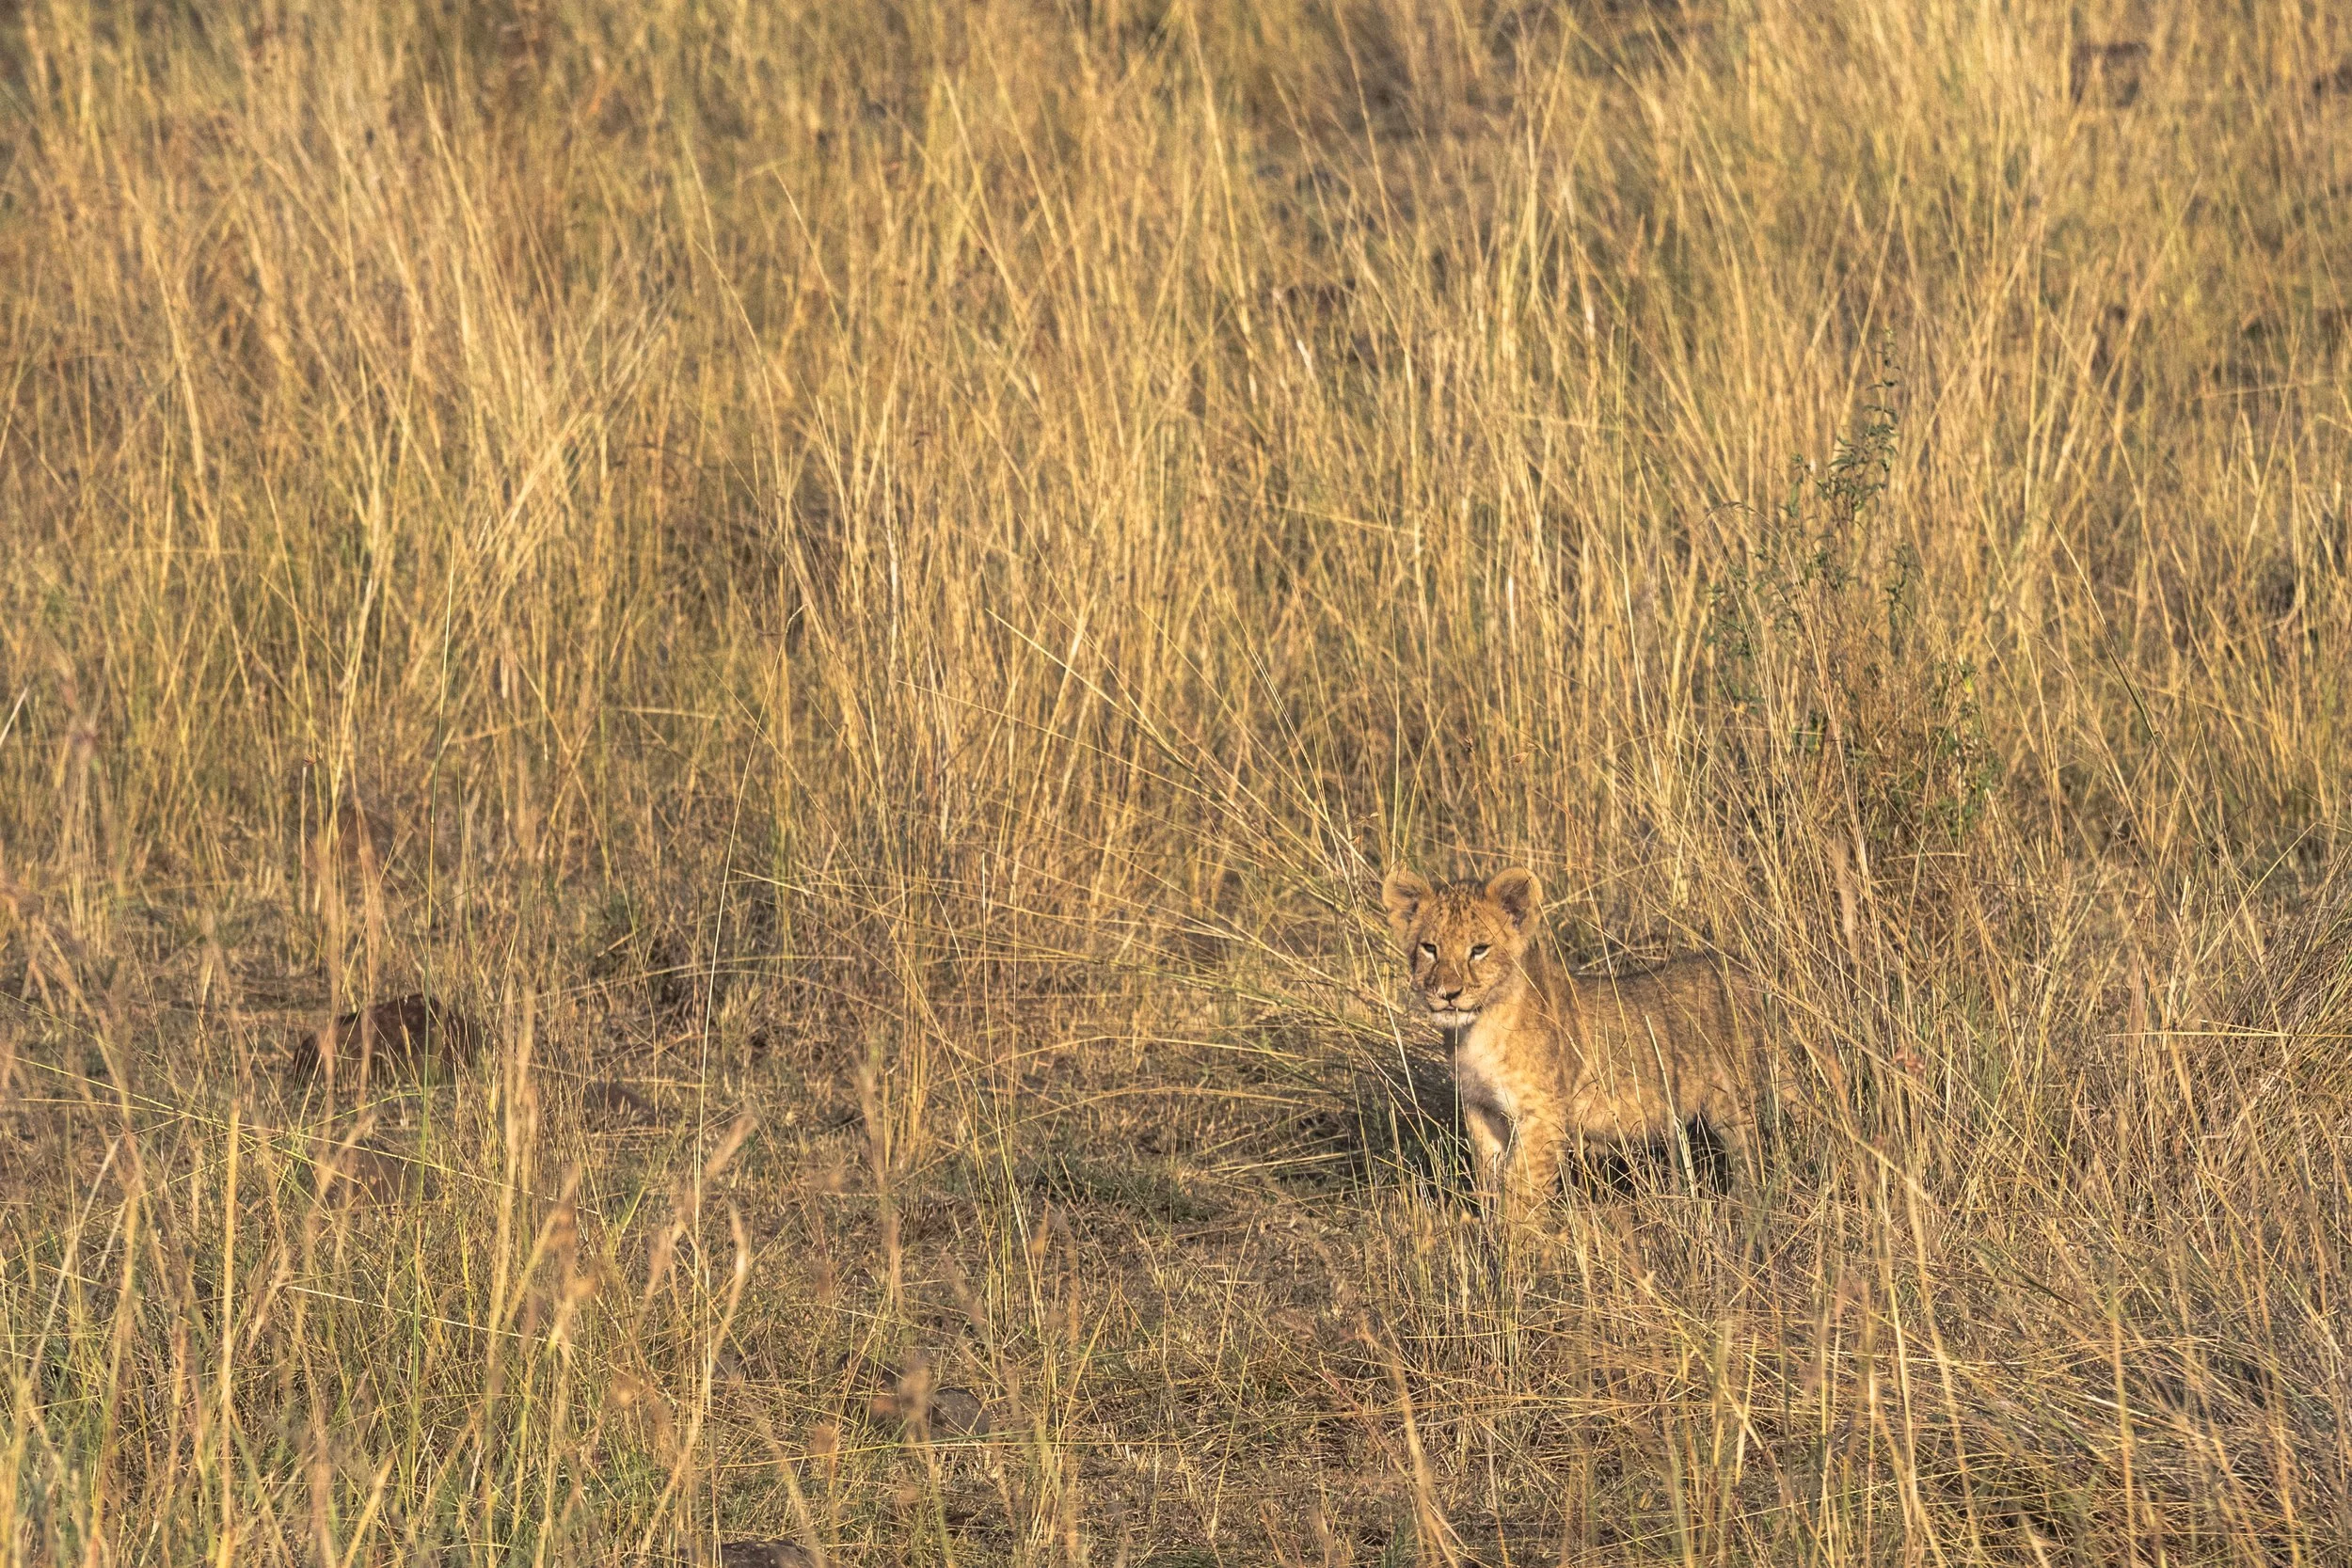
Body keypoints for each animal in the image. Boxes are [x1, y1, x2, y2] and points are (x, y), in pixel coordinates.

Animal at [1379, 865, 1789, 1211]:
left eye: (1479, 949)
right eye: (1429, 948)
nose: (1447, 993)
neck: (1477, 1030)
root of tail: (1742, 969)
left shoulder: (1542, 1116)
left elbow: (1523, 1191)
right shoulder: (1483, 1112)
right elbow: (1491, 1180)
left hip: (1734, 1101)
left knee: (1752, 1158)